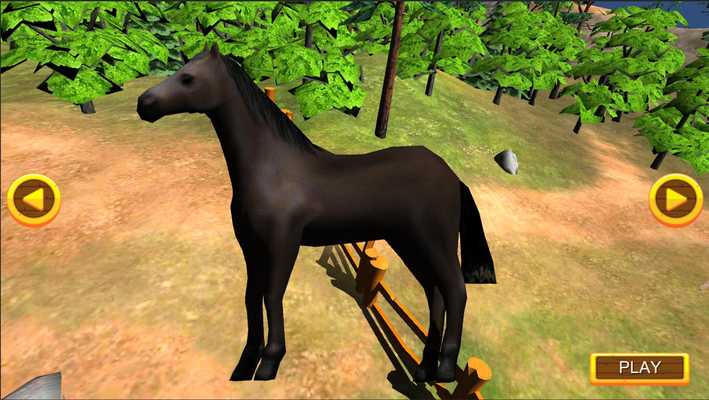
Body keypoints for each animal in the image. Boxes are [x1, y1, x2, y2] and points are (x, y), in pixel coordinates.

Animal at [137, 43, 496, 383]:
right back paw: (423, 370)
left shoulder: (283, 244)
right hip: (410, 244)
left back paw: (445, 370)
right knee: (435, 295)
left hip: (434, 242)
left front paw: (269, 362)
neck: (273, 169)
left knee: (455, 292)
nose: (144, 104)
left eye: (188, 78)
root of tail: (452, 176)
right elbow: (251, 296)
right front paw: (246, 362)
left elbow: (271, 295)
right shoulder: (250, 246)